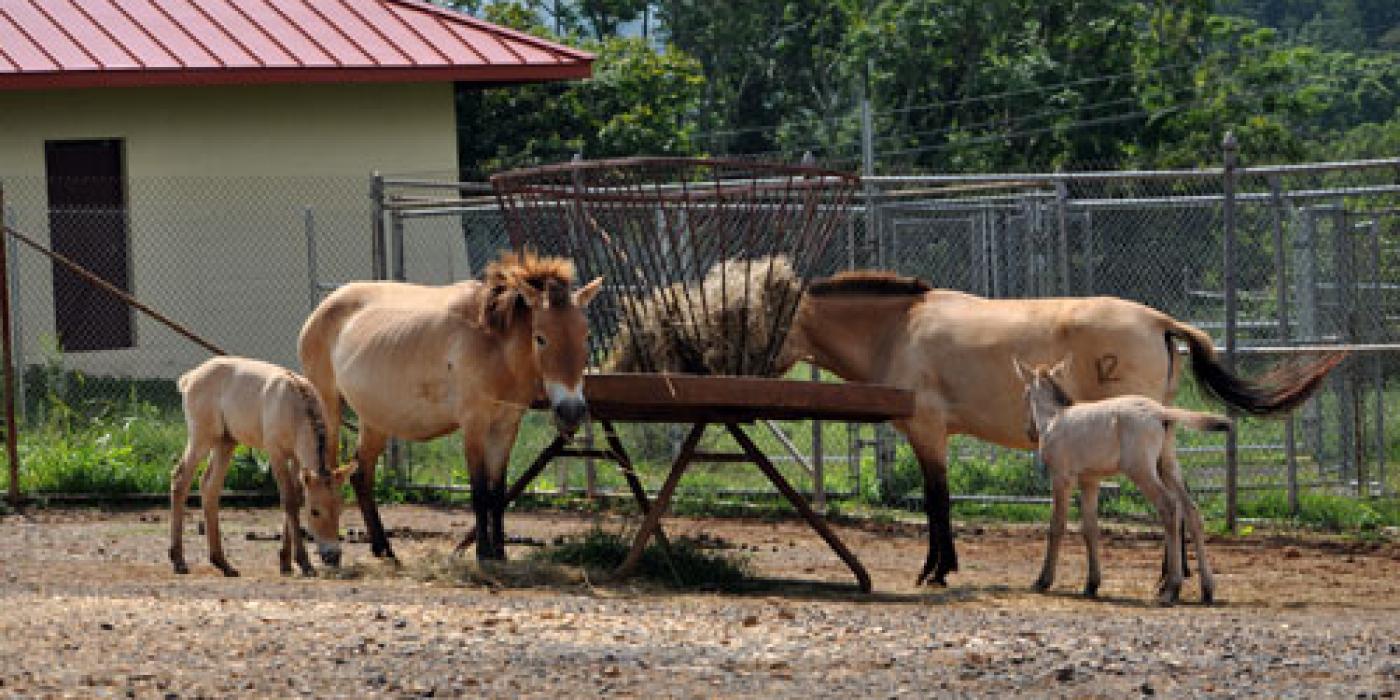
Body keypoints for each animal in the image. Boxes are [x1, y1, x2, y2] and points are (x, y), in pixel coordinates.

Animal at [298, 249, 599, 560]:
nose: (572, 410)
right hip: (329, 410)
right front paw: (483, 553)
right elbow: (479, 492)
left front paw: (500, 553)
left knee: (361, 475)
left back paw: (384, 549)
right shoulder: (474, 425)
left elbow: (497, 492)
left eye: (585, 336)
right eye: (540, 338)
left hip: (375, 420)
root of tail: (320, 310)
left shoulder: (506, 427)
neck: (494, 344)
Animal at [778, 270, 1344, 588]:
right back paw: (1175, 576)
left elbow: (938, 502)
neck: (899, 328)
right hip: (1164, 442)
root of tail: (1160, 321)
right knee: (1181, 505)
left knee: (1171, 506)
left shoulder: (928, 432)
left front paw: (936, 570)